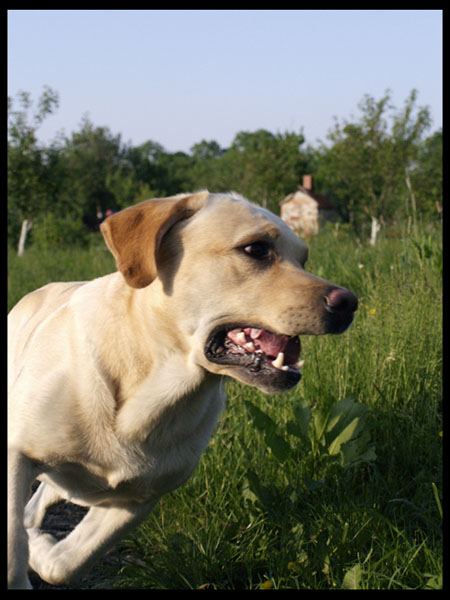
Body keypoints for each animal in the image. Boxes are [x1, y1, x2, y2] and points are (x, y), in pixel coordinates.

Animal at [7, 191, 356, 584]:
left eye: (303, 258)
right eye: (256, 249)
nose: (349, 303)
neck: (146, 390)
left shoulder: (138, 501)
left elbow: (66, 564)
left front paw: (42, 549)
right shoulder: (16, 452)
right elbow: (12, 547)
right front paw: (28, 551)